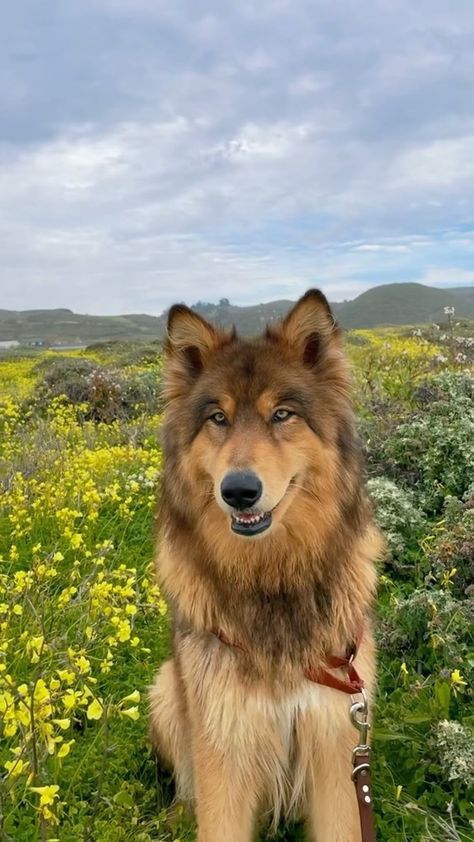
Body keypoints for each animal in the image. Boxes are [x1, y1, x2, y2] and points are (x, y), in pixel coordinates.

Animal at [150, 290, 384, 840]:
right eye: (218, 418)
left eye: (281, 414)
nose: (238, 491)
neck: (271, 577)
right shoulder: (224, 743)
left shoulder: (336, 743)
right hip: (168, 691)